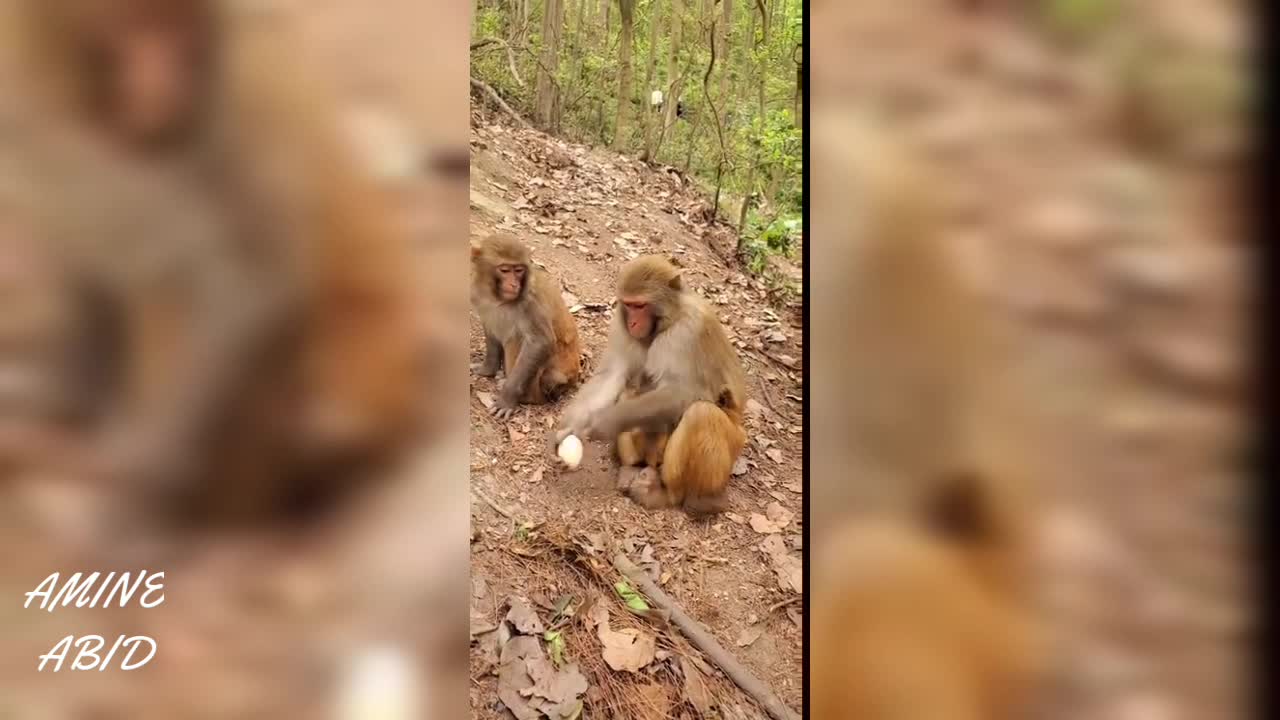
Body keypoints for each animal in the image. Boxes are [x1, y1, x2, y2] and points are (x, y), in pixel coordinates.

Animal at [470, 234, 582, 420]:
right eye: (504, 270)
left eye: (519, 270)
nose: (514, 285)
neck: (497, 297)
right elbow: (490, 328)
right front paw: (487, 370)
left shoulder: (531, 301)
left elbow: (540, 343)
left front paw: (507, 399)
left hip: (547, 383)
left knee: (517, 339)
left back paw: (525, 397)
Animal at [555, 256, 747, 514]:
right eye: (629, 305)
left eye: (641, 306)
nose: (634, 323)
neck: (669, 320)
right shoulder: (620, 322)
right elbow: (613, 374)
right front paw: (570, 425)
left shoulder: (687, 332)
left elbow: (683, 393)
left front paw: (606, 422)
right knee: (631, 391)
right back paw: (632, 467)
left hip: (733, 442)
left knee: (701, 413)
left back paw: (683, 497)